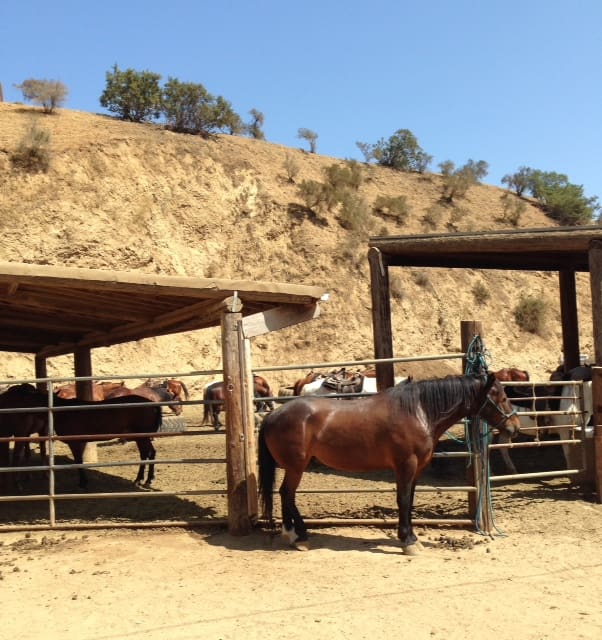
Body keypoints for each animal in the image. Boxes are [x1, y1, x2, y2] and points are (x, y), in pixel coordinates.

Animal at [0, 384, 162, 490]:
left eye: (20, 397)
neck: (61, 411)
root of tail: (151, 403)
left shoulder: (75, 442)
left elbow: (78, 462)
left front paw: (83, 482)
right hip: (141, 437)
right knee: (147, 453)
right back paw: (143, 479)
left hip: (142, 436)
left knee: (149, 453)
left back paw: (144, 480)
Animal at [255, 372, 516, 552]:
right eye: (502, 397)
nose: (514, 427)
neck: (418, 412)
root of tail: (273, 415)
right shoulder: (405, 465)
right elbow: (402, 500)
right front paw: (407, 541)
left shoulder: (417, 469)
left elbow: (409, 501)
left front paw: (411, 537)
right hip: (296, 467)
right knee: (286, 494)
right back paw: (296, 536)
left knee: (286, 495)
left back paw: (297, 534)